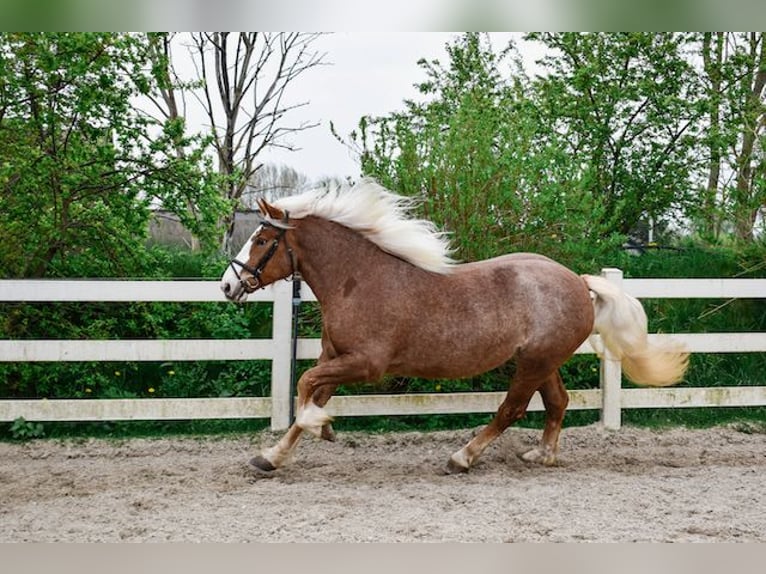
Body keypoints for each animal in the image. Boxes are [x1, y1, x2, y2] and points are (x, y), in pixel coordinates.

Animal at [220, 179, 688, 472]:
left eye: (262, 240)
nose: (227, 284)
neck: (359, 281)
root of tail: (579, 281)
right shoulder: (334, 356)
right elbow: (311, 392)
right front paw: (272, 457)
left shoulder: (365, 364)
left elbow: (304, 389)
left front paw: (322, 427)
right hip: (543, 360)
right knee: (557, 402)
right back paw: (541, 456)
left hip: (533, 363)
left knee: (511, 408)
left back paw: (462, 458)